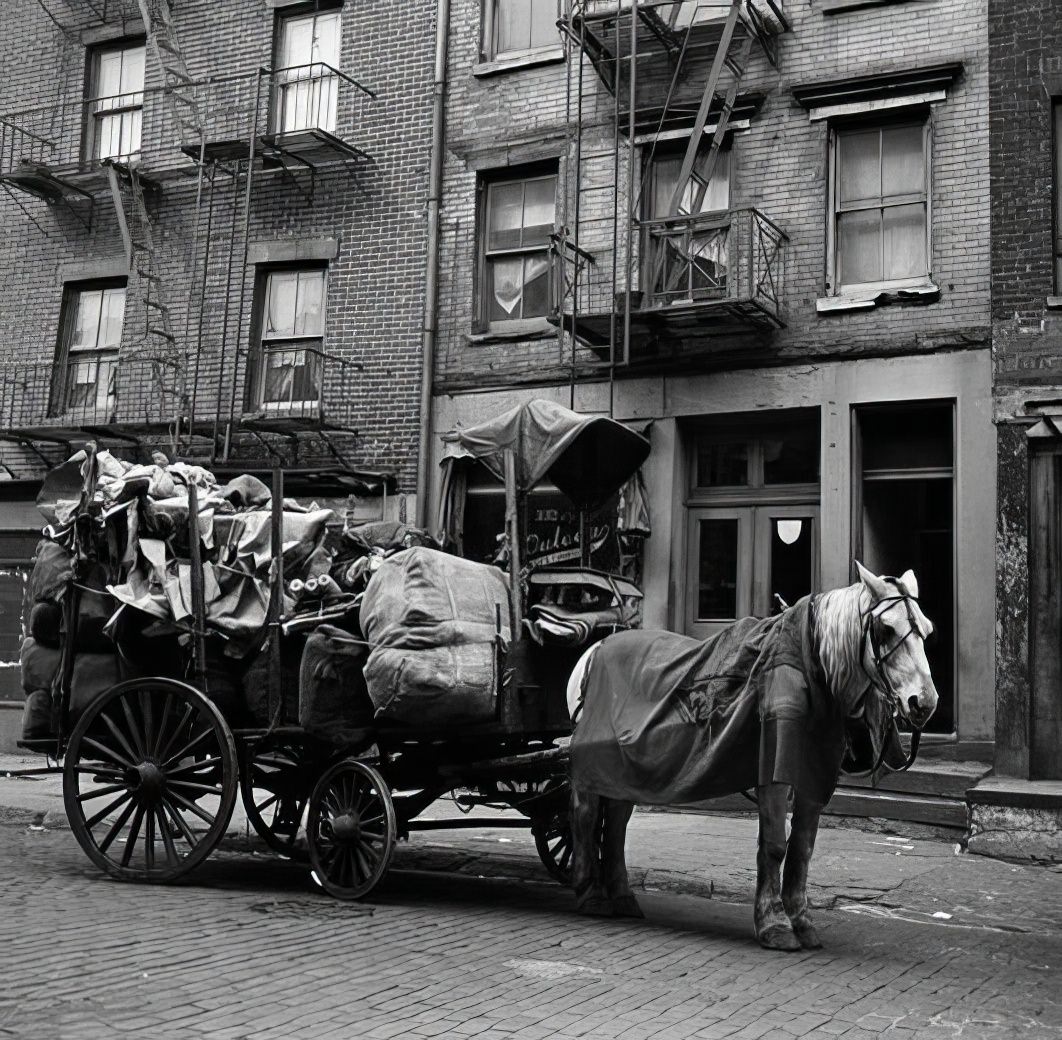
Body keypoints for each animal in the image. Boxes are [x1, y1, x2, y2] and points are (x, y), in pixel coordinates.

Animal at [564, 560, 938, 951]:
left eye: (927, 629)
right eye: (885, 628)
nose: (924, 703)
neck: (812, 665)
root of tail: (595, 649)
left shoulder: (813, 773)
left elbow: (802, 848)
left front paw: (801, 920)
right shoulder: (774, 769)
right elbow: (774, 845)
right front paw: (774, 924)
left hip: (622, 765)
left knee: (616, 820)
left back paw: (621, 896)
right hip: (592, 759)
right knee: (585, 813)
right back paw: (591, 893)